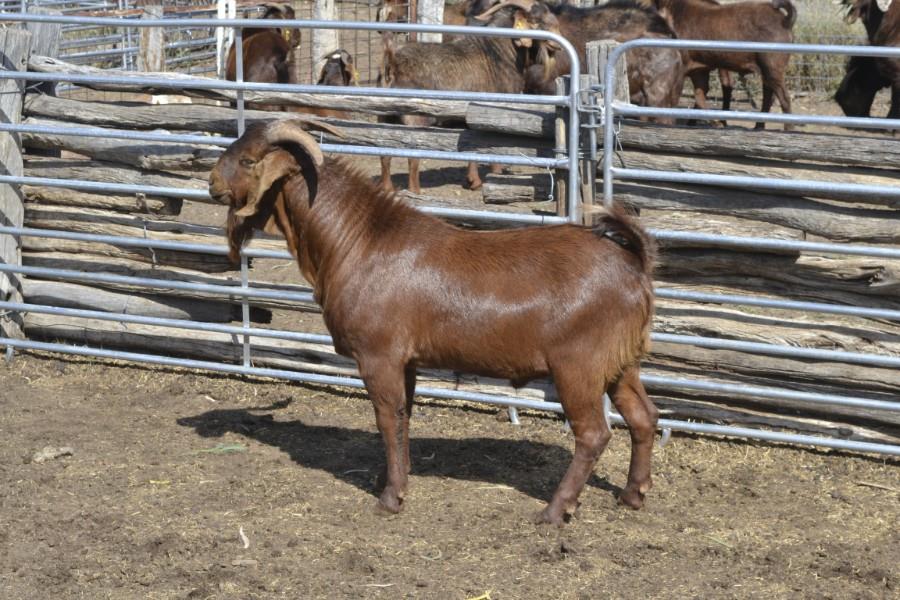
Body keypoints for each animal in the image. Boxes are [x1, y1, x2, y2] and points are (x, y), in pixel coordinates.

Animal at [209, 119, 659, 525]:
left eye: (248, 160)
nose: (212, 183)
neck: (357, 241)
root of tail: (633, 262)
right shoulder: (407, 361)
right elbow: (404, 415)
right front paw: (391, 479)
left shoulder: (379, 355)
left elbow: (388, 417)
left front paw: (390, 498)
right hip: (621, 363)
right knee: (644, 416)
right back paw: (632, 495)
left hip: (578, 365)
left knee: (593, 433)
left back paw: (554, 510)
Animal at [651, 0, 795, 129]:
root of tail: (784, 19)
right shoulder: (699, 70)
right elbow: (699, 94)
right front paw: (716, 124)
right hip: (767, 71)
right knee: (768, 96)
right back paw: (757, 127)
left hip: (772, 66)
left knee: (784, 98)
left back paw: (788, 130)